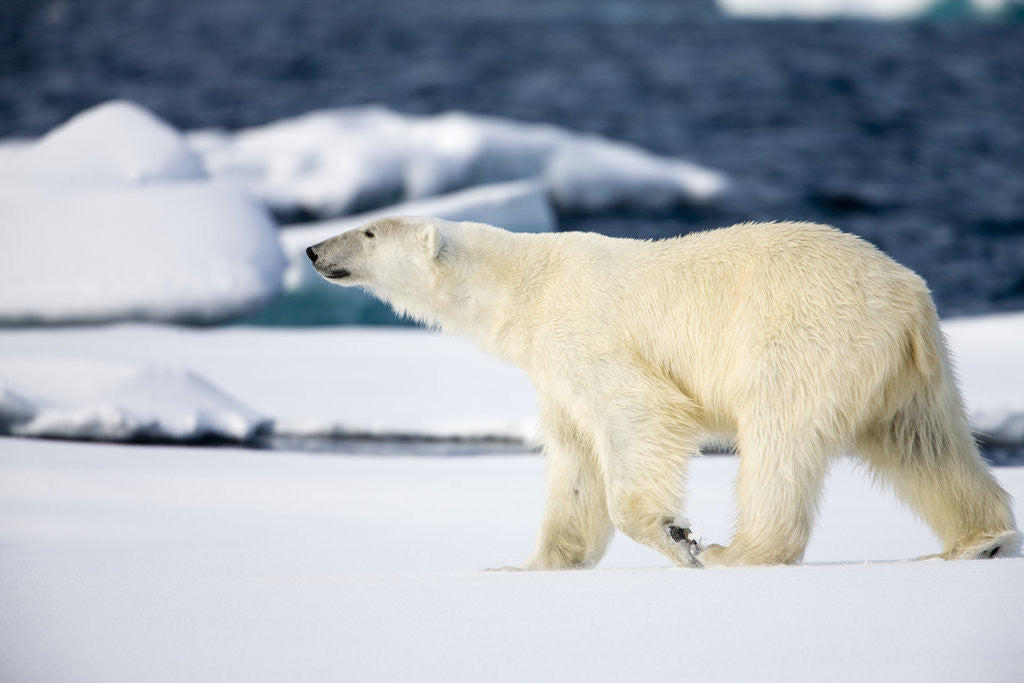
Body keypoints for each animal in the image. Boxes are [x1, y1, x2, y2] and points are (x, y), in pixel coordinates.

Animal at [306, 217, 1020, 568]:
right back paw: (979, 539)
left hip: (808, 337)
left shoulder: (587, 335)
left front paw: (678, 538)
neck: (528, 285)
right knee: (925, 443)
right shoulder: (552, 374)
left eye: (369, 232)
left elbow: (638, 416)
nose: (313, 249)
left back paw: (741, 552)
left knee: (779, 440)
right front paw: (532, 566)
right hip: (908, 373)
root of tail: (909, 297)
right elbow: (574, 462)